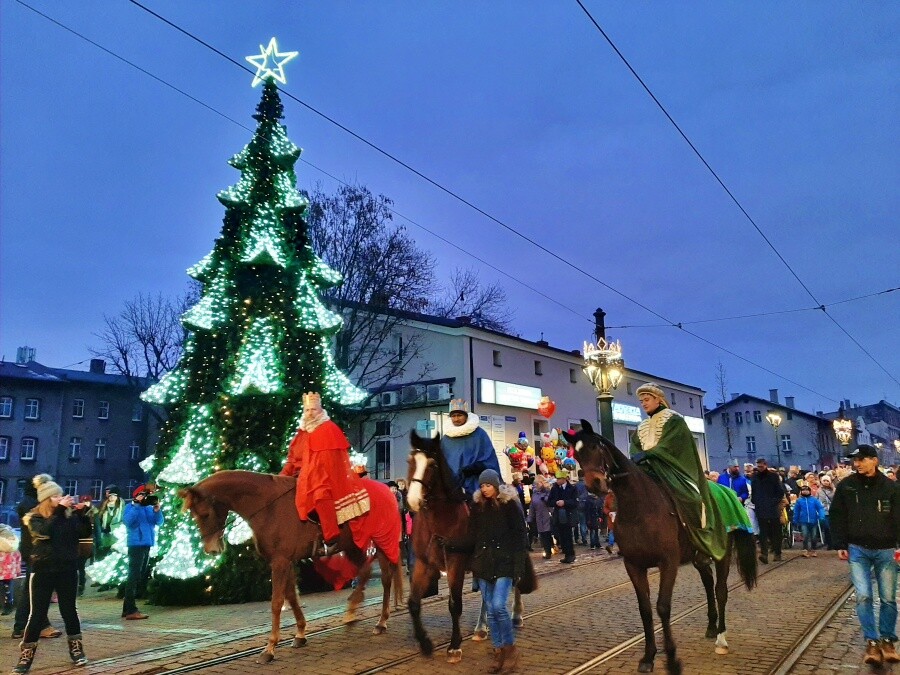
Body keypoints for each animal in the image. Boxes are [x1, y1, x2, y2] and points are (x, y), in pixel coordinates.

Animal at [181, 470, 402, 664]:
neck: (268, 506)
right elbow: (291, 596)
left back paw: (380, 621)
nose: (211, 549)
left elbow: (277, 602)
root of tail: (387, 492)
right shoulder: (285, 561)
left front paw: (269, 648)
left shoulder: (280, 561)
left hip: (381, 541)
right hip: (351, 546)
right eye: (194, 515)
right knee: (365, 571)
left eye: (205, 514)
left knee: (385, 578)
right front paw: (300, 634)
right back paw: (353, 610)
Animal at [408, 430, 536, 664]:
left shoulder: (455, 564)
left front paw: (454, 646)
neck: (438, 520)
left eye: (432, 464)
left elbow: (454, 604)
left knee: (514, 582)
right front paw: (425, 643)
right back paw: (481, 628)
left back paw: (516, 615)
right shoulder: (423, 564)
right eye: (411, 461)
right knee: (487, 595)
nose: (413, 500)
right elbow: (413, 603)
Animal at [568, 420, 756, 672]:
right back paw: (711, 626)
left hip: (722, 552)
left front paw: (672, 659)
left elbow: (663, 607)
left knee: (720, 590)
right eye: (577, 454)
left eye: (595, 446)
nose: (594, 484)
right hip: (700, 556)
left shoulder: (668, 562)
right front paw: (648, 657)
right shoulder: (633, 565)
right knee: (708, 584)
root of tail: (728, 491)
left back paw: (721, 639)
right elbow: (645, 610)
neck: (639, 507)